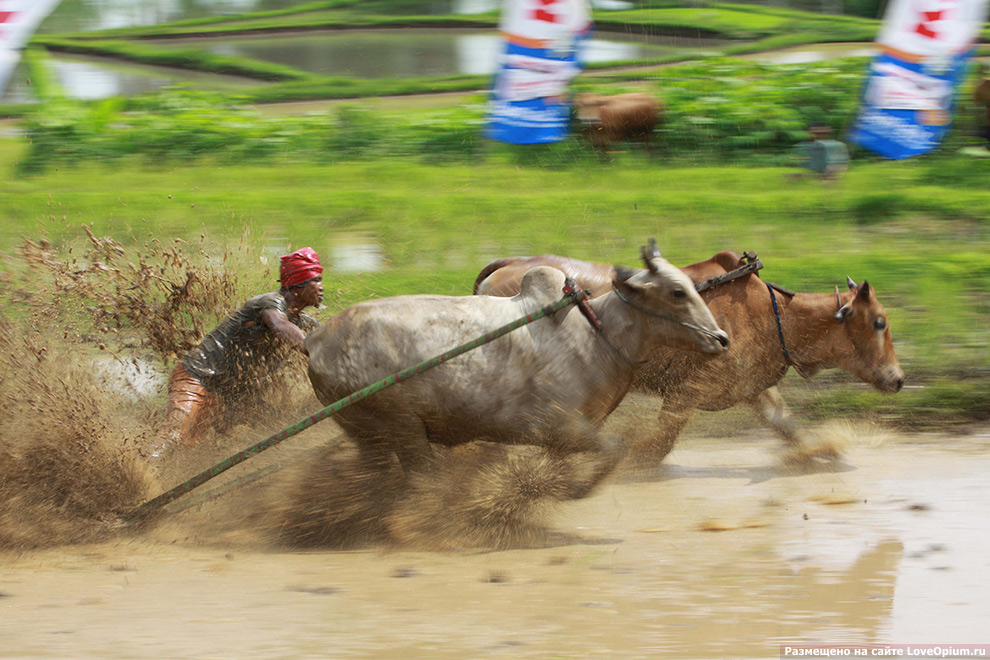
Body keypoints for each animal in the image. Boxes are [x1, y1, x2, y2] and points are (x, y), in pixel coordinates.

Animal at [302, 242, 728, 500]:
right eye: (677, 292)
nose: (722, 339)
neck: (596, 333)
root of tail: (318, 340)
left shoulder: (567, 437)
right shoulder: (560, 427)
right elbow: (616, 449)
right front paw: (573, 491)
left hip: (366, 433)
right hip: (402, 426)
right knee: (422, 476)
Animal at [474, 249, 908, 464]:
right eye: (880, 322)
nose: (899, 378)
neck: (776, 315)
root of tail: (511, 264)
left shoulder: (753, 389)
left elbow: (787, 426)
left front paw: (822, 451)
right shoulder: (686, 393)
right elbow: (657, 445)